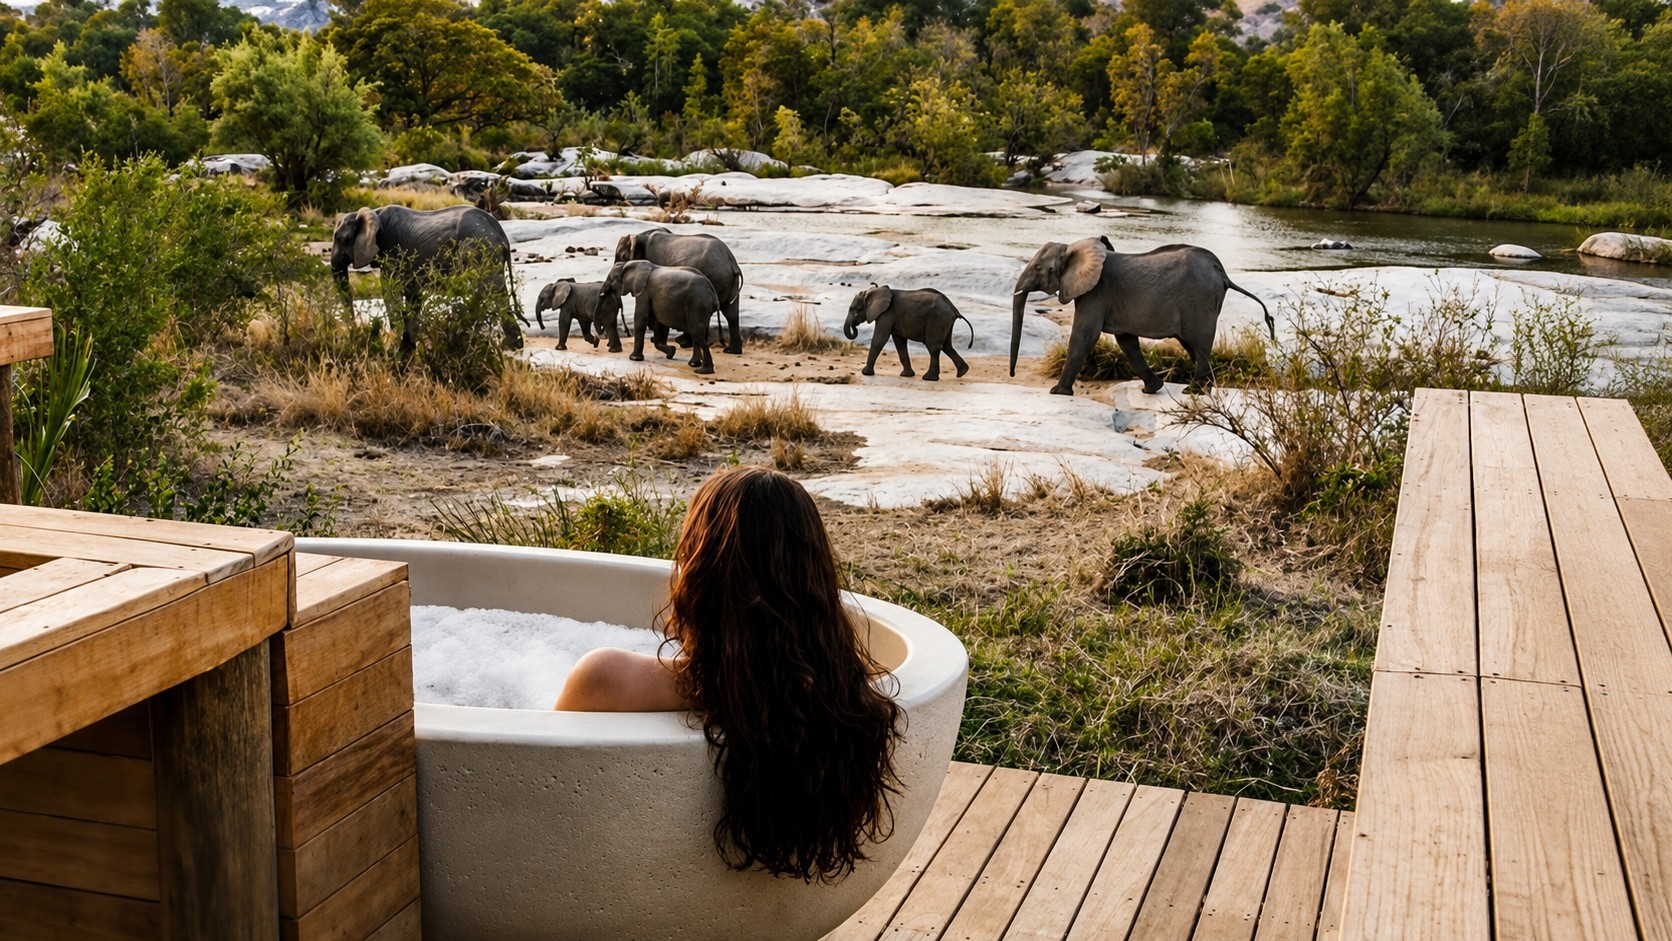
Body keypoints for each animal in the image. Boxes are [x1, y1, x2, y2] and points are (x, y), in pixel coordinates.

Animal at [331, 204, 522, 355]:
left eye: (341, 238)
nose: (354, 329)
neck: (373, 212)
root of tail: (501, 233)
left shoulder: (392, 249)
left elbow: (390, 290)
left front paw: (397, 342)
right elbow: (410, 293)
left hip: (481, 249)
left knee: (493, 290)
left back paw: (509, 346)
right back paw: (512, 345)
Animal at [614, 229, 744, 354]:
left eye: (622, 257)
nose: (627, 332)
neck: (640, 235)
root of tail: (731, 261)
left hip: (714, 278)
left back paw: (684, 342)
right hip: (730, 284)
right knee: (731, 314)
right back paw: (731, 351)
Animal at [843, 285, 974, 381]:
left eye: (857, 309)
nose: (855, 325)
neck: (875, 290)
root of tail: (953, 308)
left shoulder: (886, 314)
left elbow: (879, 340)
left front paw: (865, 373)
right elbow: (900, 343)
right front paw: (906, 375)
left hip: (937, 319)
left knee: (933, 347)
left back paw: (929, 378)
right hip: (945, 321)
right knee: (947, 346)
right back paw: (962, 371)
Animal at [1010, 238, 1274, 395]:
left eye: (1039, 268)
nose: (1012, 375)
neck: (1074, 248)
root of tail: (1224, 275)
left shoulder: (1096, 293)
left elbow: (1084, 336)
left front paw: (1057, 392)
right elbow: (1127, 342)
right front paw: (1152, 390)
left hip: (1198, 300)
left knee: (1199, 343)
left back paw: (1193, 391)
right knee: (1192, 346)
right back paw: (1206, 389)